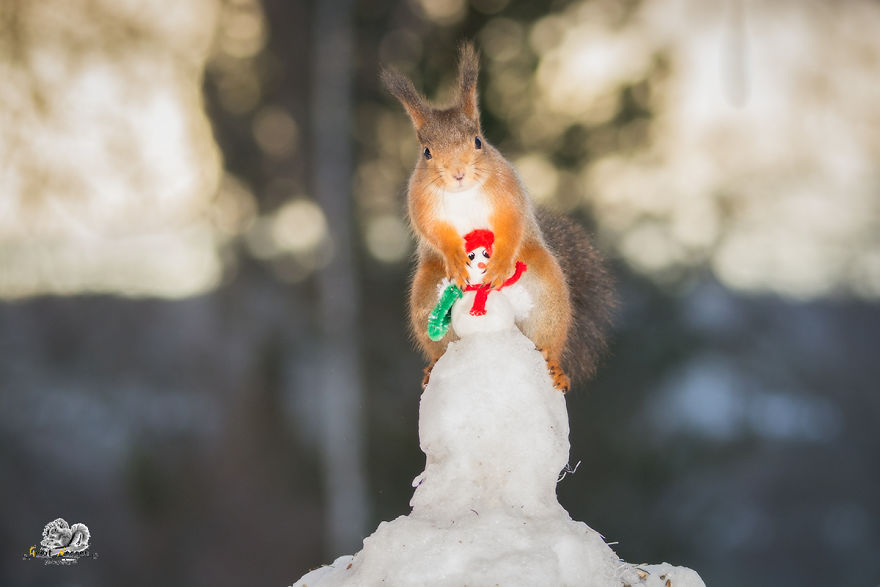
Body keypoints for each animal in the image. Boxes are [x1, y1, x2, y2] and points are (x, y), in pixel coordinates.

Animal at [382, 43, 616, 392]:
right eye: (427, 152)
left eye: (478, 141)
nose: (458, 174)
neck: (463, 194)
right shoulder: (421, 203)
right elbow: (434, 231)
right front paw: (454, 256)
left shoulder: (508, 194)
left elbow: (512, 224)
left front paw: (501, 261)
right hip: (427, 296)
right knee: (439, 341)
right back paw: (434, 366)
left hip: (546, 295)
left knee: (549, 339)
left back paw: (555, 367)